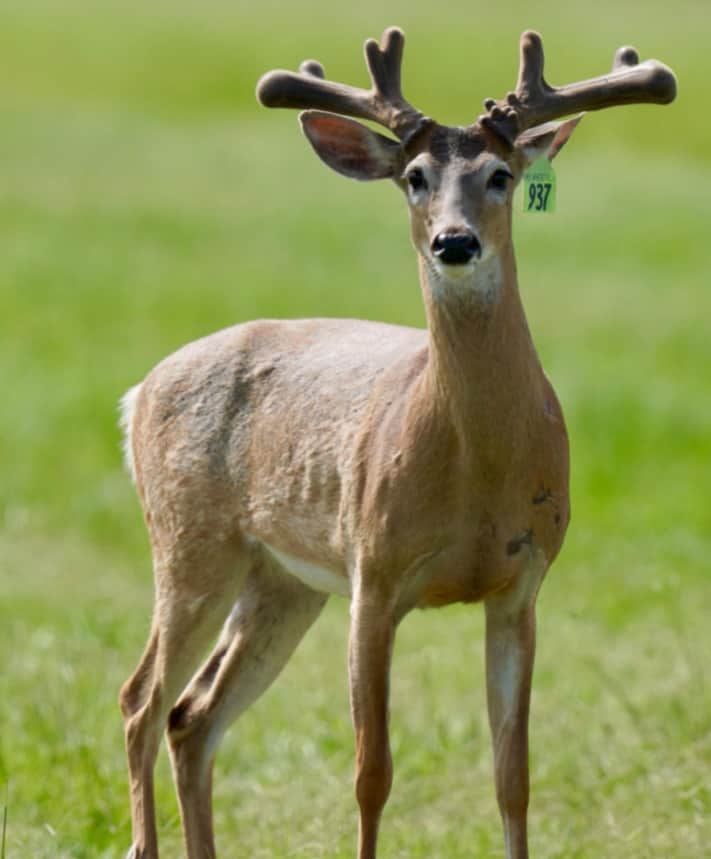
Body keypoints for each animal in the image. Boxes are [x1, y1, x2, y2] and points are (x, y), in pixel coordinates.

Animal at [118, 26, 676, 859]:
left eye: (500, 175)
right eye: (414, 177)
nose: (454, 242)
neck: (478, 465)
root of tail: (138, 392)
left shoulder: (522, 582)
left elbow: (513, 775)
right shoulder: (374, 573)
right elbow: (370, 771)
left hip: (280, 579)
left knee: (192, 713)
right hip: (189, 538)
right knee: (140, 700)